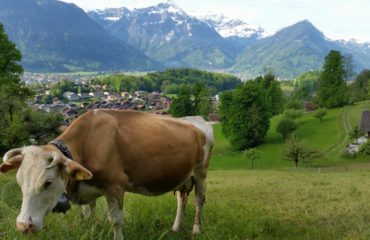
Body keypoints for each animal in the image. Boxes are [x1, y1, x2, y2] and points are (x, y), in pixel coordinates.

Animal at [0, 109, 214, 239]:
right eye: (20, 182)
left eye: (48, 182)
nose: (22, 225)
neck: (86, 142)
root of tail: (196, 119)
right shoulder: (88, 189)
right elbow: (87, 218)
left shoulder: (115, 186)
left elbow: (116, 221)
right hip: (184, 176)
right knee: (182, 198)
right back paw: (176, 227)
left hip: (201, 172)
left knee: (199, 200)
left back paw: (196, 229)